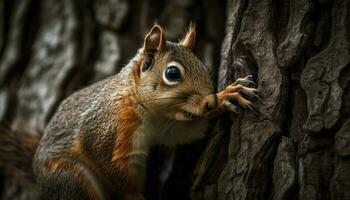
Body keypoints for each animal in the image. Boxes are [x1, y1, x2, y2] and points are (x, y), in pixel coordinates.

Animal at [0, 23, 258, 198]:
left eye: (204, 66)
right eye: (172, 73)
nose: (209, 102)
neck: (150, 111)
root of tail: (37, 177)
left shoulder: (166, 129)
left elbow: (188, 133)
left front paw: (226, 97)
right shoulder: (104, 128)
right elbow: (108, 165)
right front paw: (135, 196)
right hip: (70, 178)